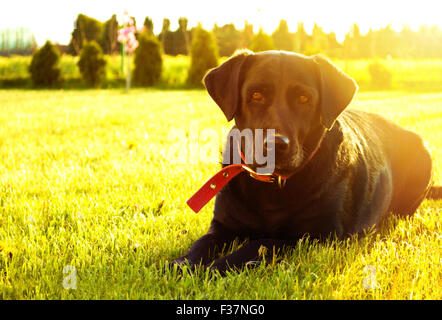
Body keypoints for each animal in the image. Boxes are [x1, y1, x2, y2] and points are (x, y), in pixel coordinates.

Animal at [171, 50, 436, 276]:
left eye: (304, 98)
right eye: (256, 95)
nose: (275, 144)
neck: (272, 187)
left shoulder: (316, 236)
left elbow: (261, 243)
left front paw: (216, 267)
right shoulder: (223, 225)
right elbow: (202, 243)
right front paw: (181, 264)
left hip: (423, 158)